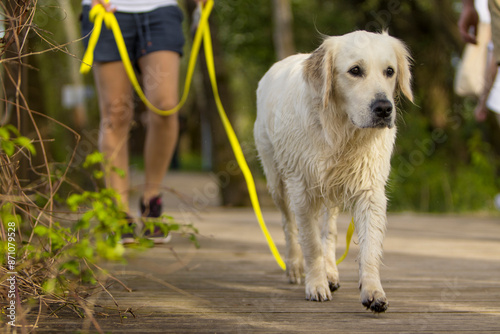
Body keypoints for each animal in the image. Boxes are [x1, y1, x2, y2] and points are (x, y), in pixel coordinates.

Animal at [256, 31, 412, 314]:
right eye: (355, 70)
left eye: (389, 71)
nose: (384, 108)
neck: (342, 133)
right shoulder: (301, 190)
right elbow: (310, 243)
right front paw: (316, 284)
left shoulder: (370, 191)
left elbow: (369, 247)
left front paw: (373, 291)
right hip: (276, 182)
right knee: (288, 225)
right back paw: (295, 267)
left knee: (328, 231)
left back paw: (330, 270)